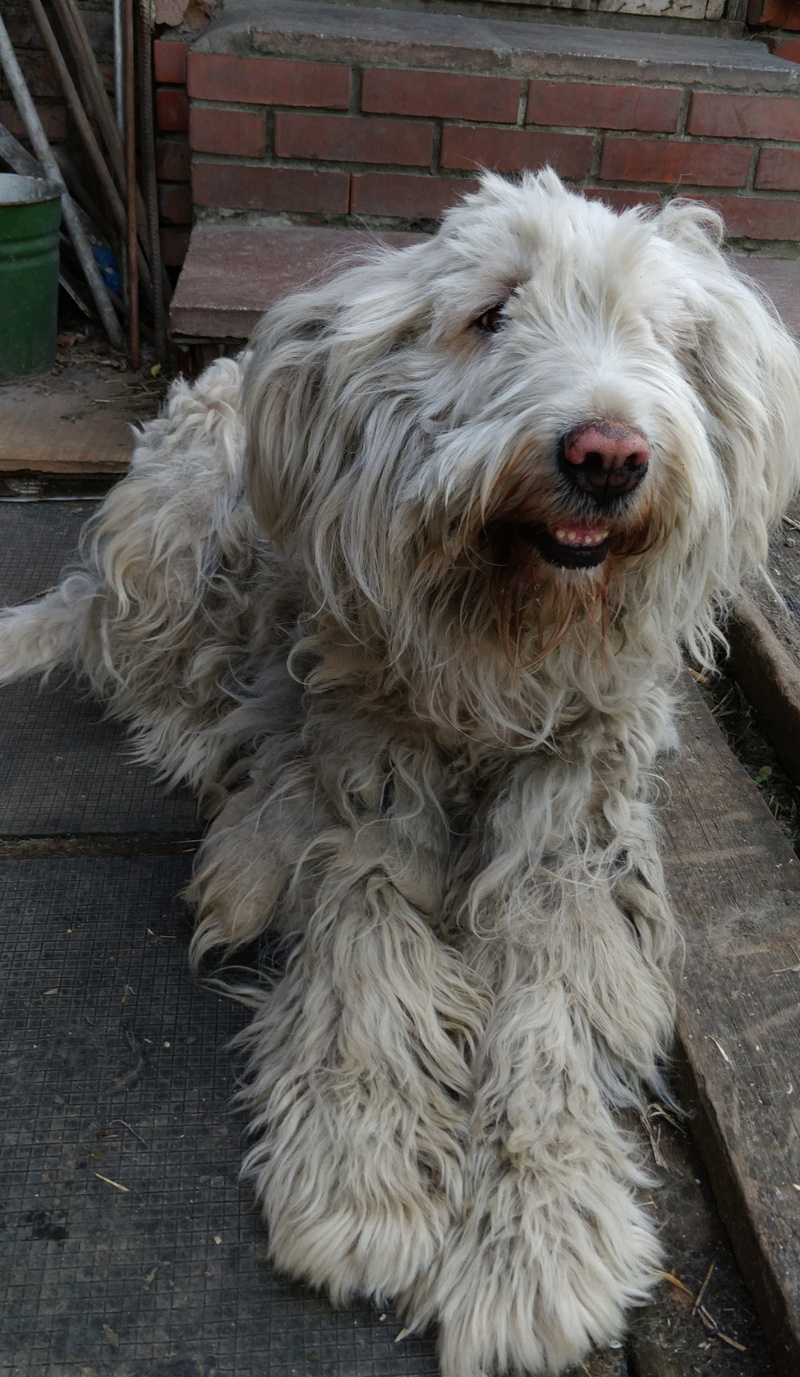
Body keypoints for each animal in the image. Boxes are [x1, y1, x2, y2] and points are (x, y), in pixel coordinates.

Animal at [2, 169, 799, 1376]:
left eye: (661, 336)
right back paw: (201, 737)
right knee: (121, 645)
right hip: (174, 543)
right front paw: (362, 1181)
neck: (498, 654)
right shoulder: (357, 808)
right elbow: (366, 971)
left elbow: (549, 1018)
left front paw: (537, 1238)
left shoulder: (565, 846)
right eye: (492, 314)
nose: (607, 454)